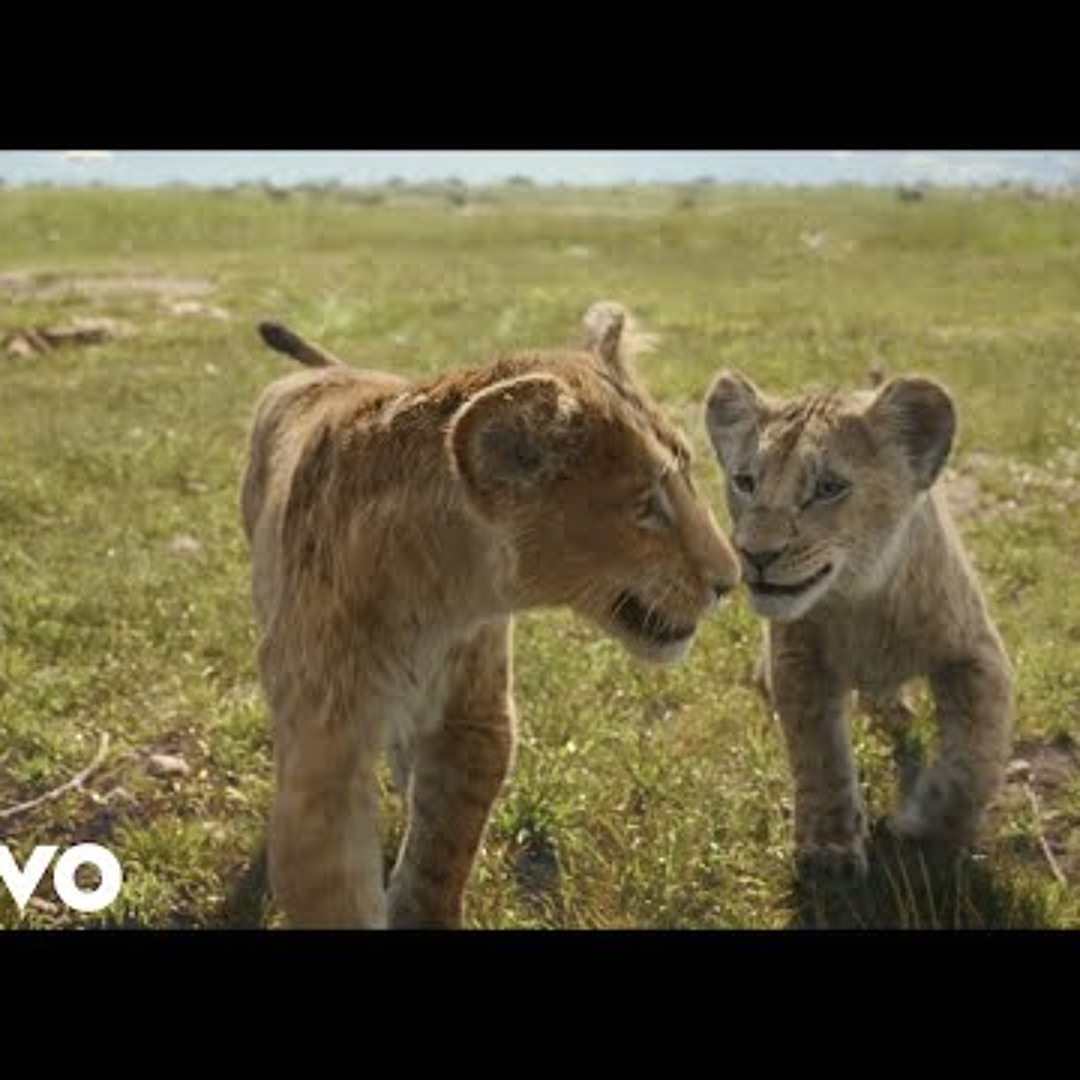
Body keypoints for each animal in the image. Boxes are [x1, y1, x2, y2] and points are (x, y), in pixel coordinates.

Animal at [242, 303, 741, 927]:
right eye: (645, 508)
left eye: (691, 473)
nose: (730, 581)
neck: (435, 603)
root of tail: (331, 371)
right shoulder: (322, 753)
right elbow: (335, 890)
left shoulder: (475, 718)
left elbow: (440, 857)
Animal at [703, 369, 1013, 880]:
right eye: (745, 482)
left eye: (829, 487)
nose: (755, 554)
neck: (861, 597)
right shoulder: (797, 658)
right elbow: (821, 755)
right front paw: (830, 849)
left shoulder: (976, 651)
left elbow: (975, 758)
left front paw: (927, 827)